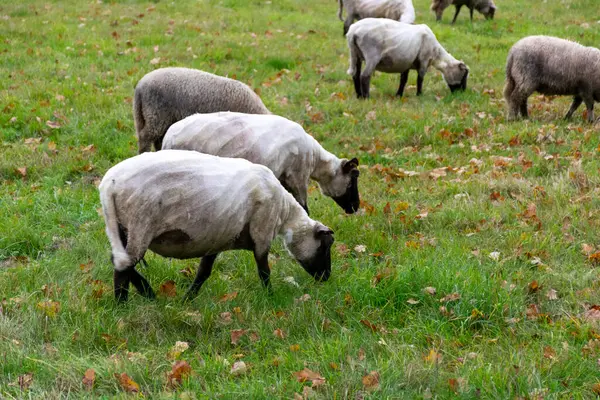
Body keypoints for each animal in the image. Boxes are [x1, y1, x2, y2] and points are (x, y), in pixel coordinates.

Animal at [98, 151, 332, 304]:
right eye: (325, 246)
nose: (326, 277)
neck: (284, 211)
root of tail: (109, 183)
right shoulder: (262, 231)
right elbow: (264, 270)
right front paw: (271, 297)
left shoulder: (218, 238)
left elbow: (204, 272)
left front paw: (187, 299)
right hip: (140, 223)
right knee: (124, 266)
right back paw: (123, 305)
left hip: (122, 227)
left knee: (121, 262)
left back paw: (145, 295)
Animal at [162, 112, 360, 216]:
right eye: (353, 180)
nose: (356, 207)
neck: (315, 160)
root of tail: (168, 138)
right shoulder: (298, 177)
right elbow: (303, 207)